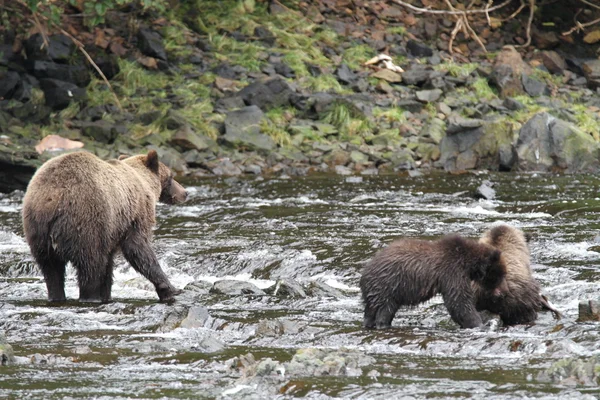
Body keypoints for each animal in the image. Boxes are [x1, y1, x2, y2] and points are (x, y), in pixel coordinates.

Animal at [22, 150, 188, 304]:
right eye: (171, 177)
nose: (185, 192)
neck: (145, 184)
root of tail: (51, 198)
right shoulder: (134, 215)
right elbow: (138, 249)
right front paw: (170, 289)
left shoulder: (113, 229)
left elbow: (108, 266)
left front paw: (107, 294)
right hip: (86, 221)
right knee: (90, 266)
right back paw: (90, 297)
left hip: (38, 231)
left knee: (51, 270)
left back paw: (57, 296)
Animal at [360, 233, 506, 330]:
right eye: (498, 276)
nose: (500, 294)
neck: (468, 263)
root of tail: (364, 273)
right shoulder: (452, 272)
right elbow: (459, 300)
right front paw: (479, 323)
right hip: (387, 286)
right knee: (385, 310)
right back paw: (384, 324)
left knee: (371, 311)